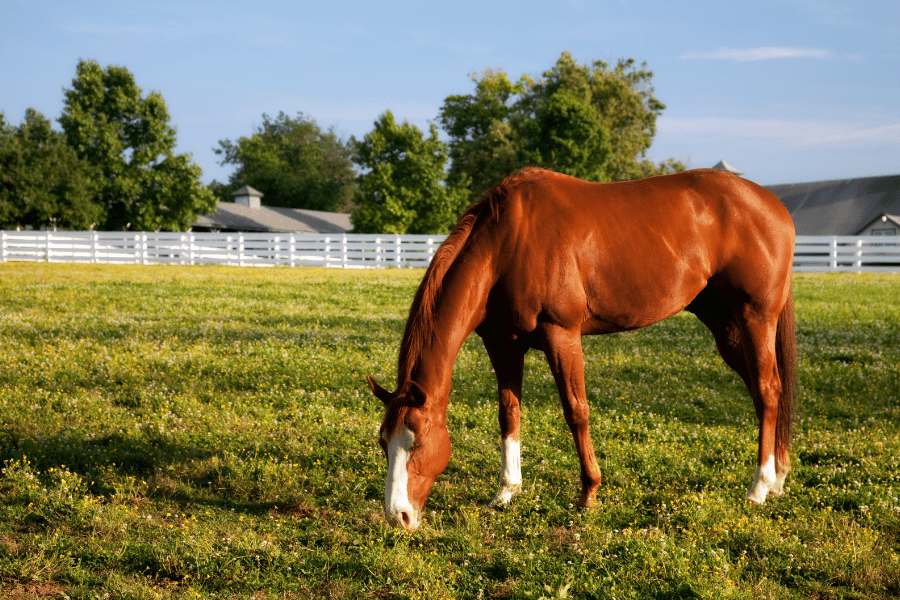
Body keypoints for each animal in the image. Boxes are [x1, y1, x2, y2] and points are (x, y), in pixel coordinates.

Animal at [368, 167, 797, 530]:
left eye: (418, 442)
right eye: (383, 443)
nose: (398, 516)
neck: (507, 244)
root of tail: (773, 205)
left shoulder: (562, 336)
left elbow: (576, 412)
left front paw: (589, 493)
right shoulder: (503, 345)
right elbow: (509, 414)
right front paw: (507, 491)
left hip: (756, 319)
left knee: (767, 390)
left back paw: (759, 488)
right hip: (725, 326)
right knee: (765, 391)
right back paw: (777, 477)